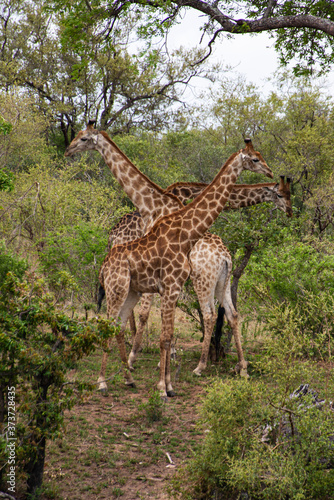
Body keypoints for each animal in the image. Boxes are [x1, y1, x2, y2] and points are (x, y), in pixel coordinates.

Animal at [66, 134, 272, 398]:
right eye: (255, 158)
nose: (270, 172)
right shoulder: (168, 286)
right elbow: (162, 332)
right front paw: (162, 383)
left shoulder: (169, 287)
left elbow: (165, 332)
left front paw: (166, 382)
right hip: (124, 288)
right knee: (113, 324)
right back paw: (105, 381)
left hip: (149, 289)